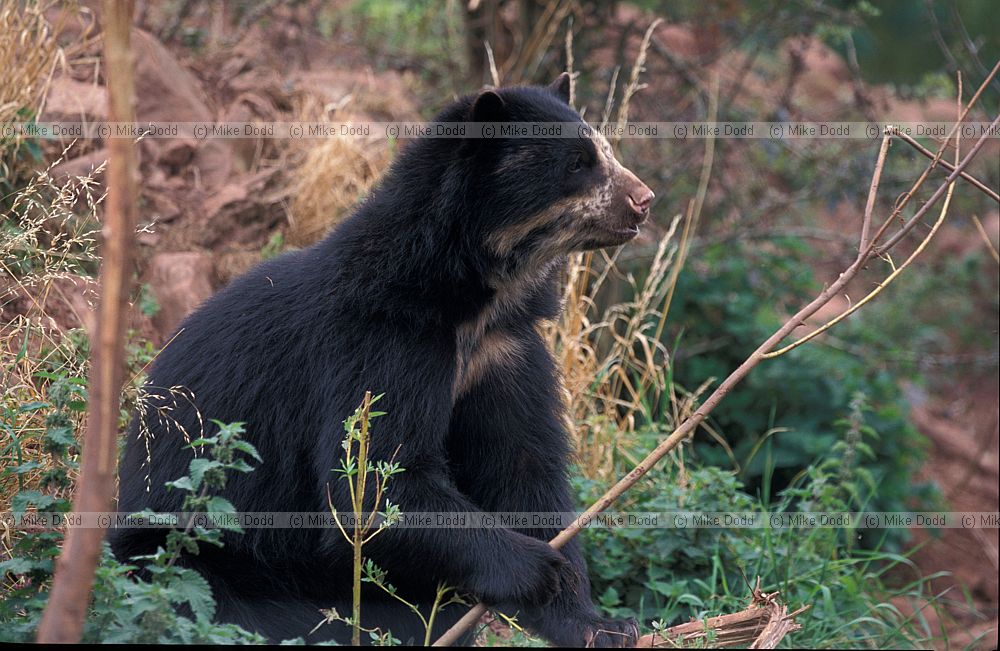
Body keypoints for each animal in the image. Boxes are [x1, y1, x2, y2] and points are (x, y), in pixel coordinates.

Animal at [110, 73, 654, 647]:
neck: (474, 301)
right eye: (577, 163)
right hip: (196, 552)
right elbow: (376, 482)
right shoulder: (378, 344)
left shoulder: (504, 351)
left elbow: (523, 467)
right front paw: (540, 569)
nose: (643, 200)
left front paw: (599, 623)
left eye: (604, 152)